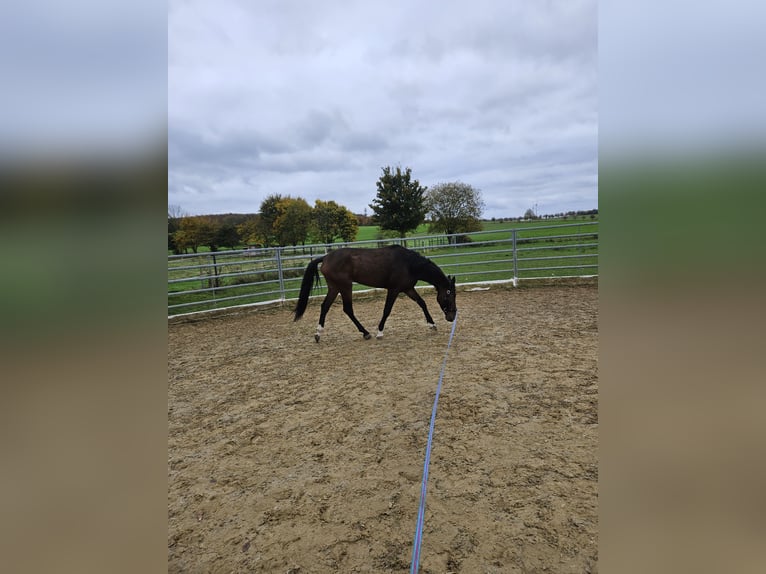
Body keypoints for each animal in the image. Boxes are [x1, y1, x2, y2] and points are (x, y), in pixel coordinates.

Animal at [292, 246, 456, 344]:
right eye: (449, 295)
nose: (452, 316)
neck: (408, 264)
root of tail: (325, 257)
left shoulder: (408, 288)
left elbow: (422, 303)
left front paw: (432, 325)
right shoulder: (394, 289)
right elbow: (387, 310)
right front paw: (380, 332)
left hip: (335, 287)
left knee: (325, 306)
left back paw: (318, 333)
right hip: (345, 286)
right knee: (347, 309)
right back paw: (365, 333)